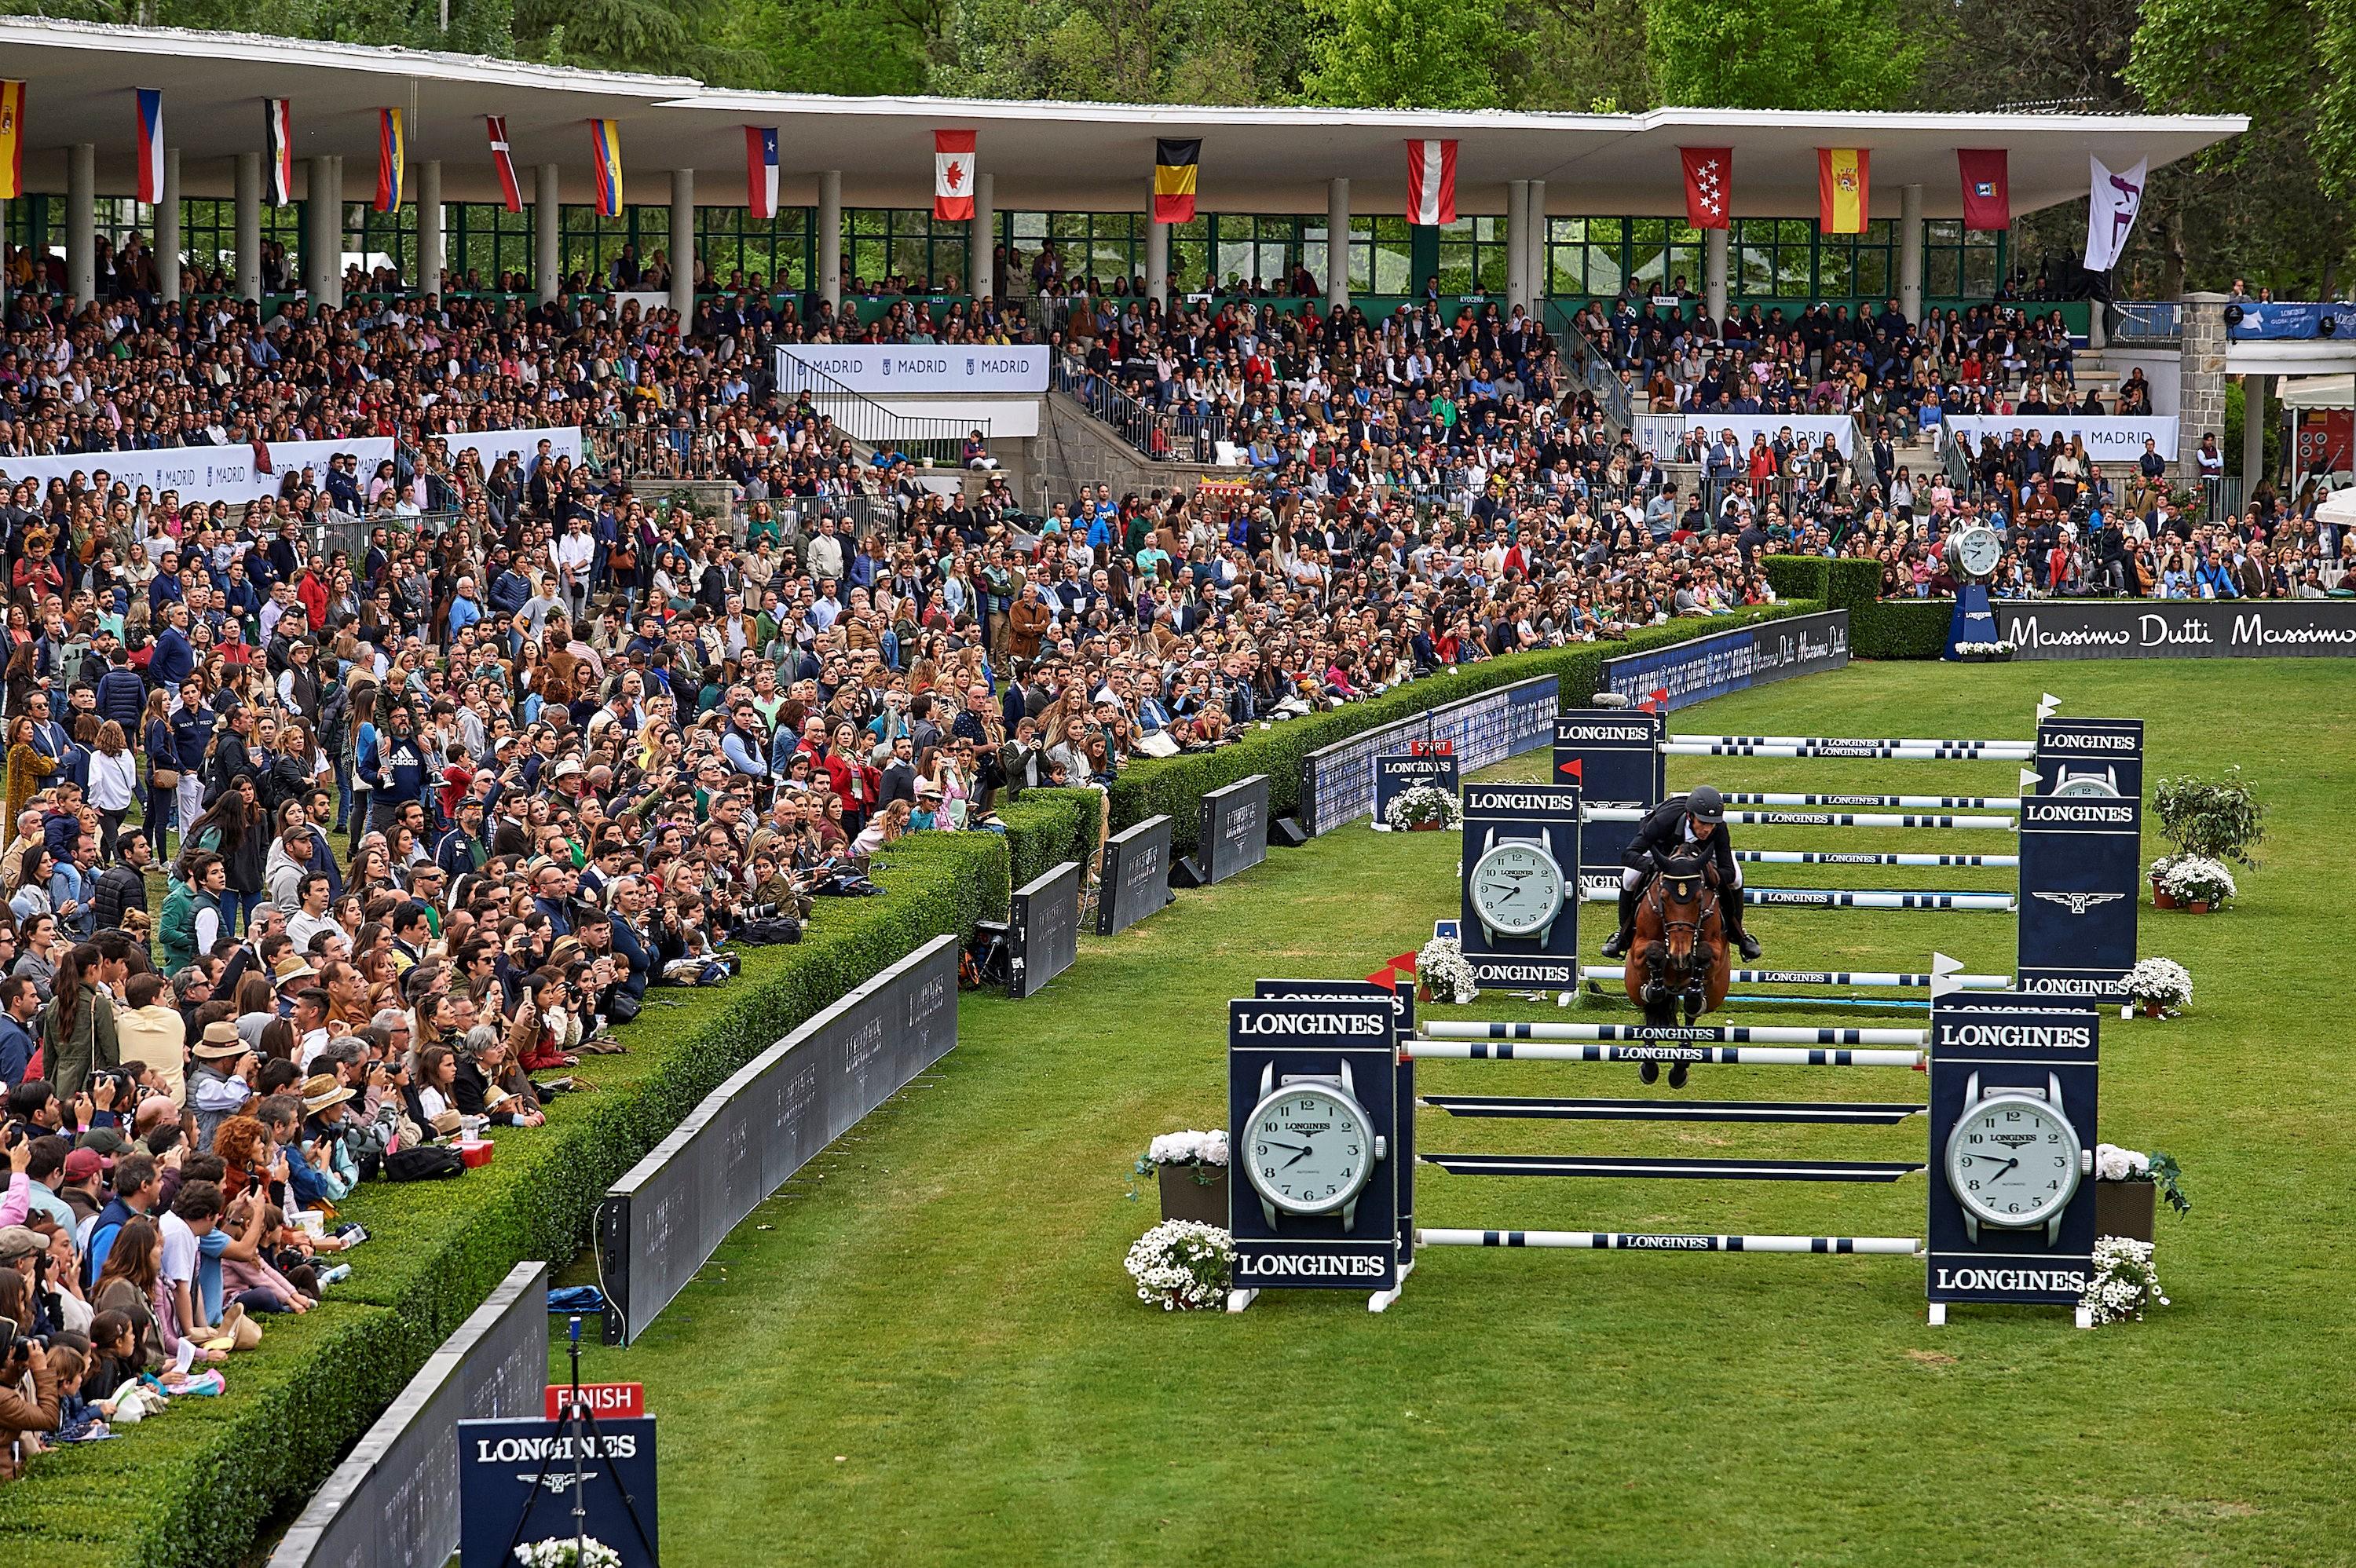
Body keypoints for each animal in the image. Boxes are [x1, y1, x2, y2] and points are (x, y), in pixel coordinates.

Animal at [1621, 847, 1734, 1083]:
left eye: (1699, 899)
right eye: (1663, 898)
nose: (1680, 955)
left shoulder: (1718, 953)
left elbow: (1705, 953)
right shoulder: (1638, 949)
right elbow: (1653, 951)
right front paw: (1653, 987)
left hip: (1717, 991)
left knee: (1691, 1016)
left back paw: (1680, 1068)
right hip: (1632, 984)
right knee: (1650, 1011)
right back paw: (1649, 1066)